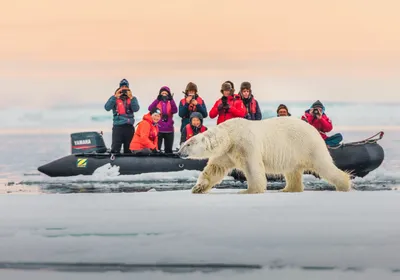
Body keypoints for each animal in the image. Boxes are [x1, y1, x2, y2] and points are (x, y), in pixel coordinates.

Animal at [178, 117, 350, 194]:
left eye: (188, 144)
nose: (178, 153)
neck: (229, 135)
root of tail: (314, 130)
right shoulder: (227, 152)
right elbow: (214, 169)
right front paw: (198, 188)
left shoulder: (245, 144)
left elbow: (252, 167)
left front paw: (249, 191)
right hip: (293, 154)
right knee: (292, 172)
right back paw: (288, 189)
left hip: (307, 146)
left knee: (324, 165)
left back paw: (344, 185)